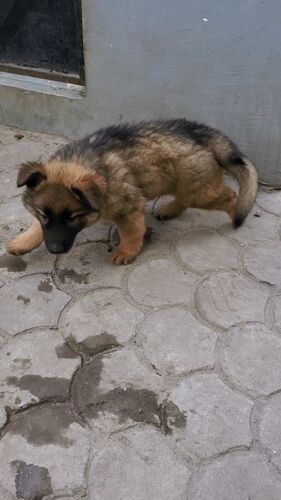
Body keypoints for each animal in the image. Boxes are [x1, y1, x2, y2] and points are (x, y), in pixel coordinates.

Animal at [7, 119, 256, 264]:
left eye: (72, 218)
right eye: (44, 215)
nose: (55, 250)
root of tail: (208, 135)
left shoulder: (128, 209)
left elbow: (131, 232)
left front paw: (126, 251)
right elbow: (36, 227)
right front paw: (23, 242)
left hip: (199, 191)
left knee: (229, 196)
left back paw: (235, 212)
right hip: (185, 184)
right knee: (183, 199)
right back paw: (169, 209)